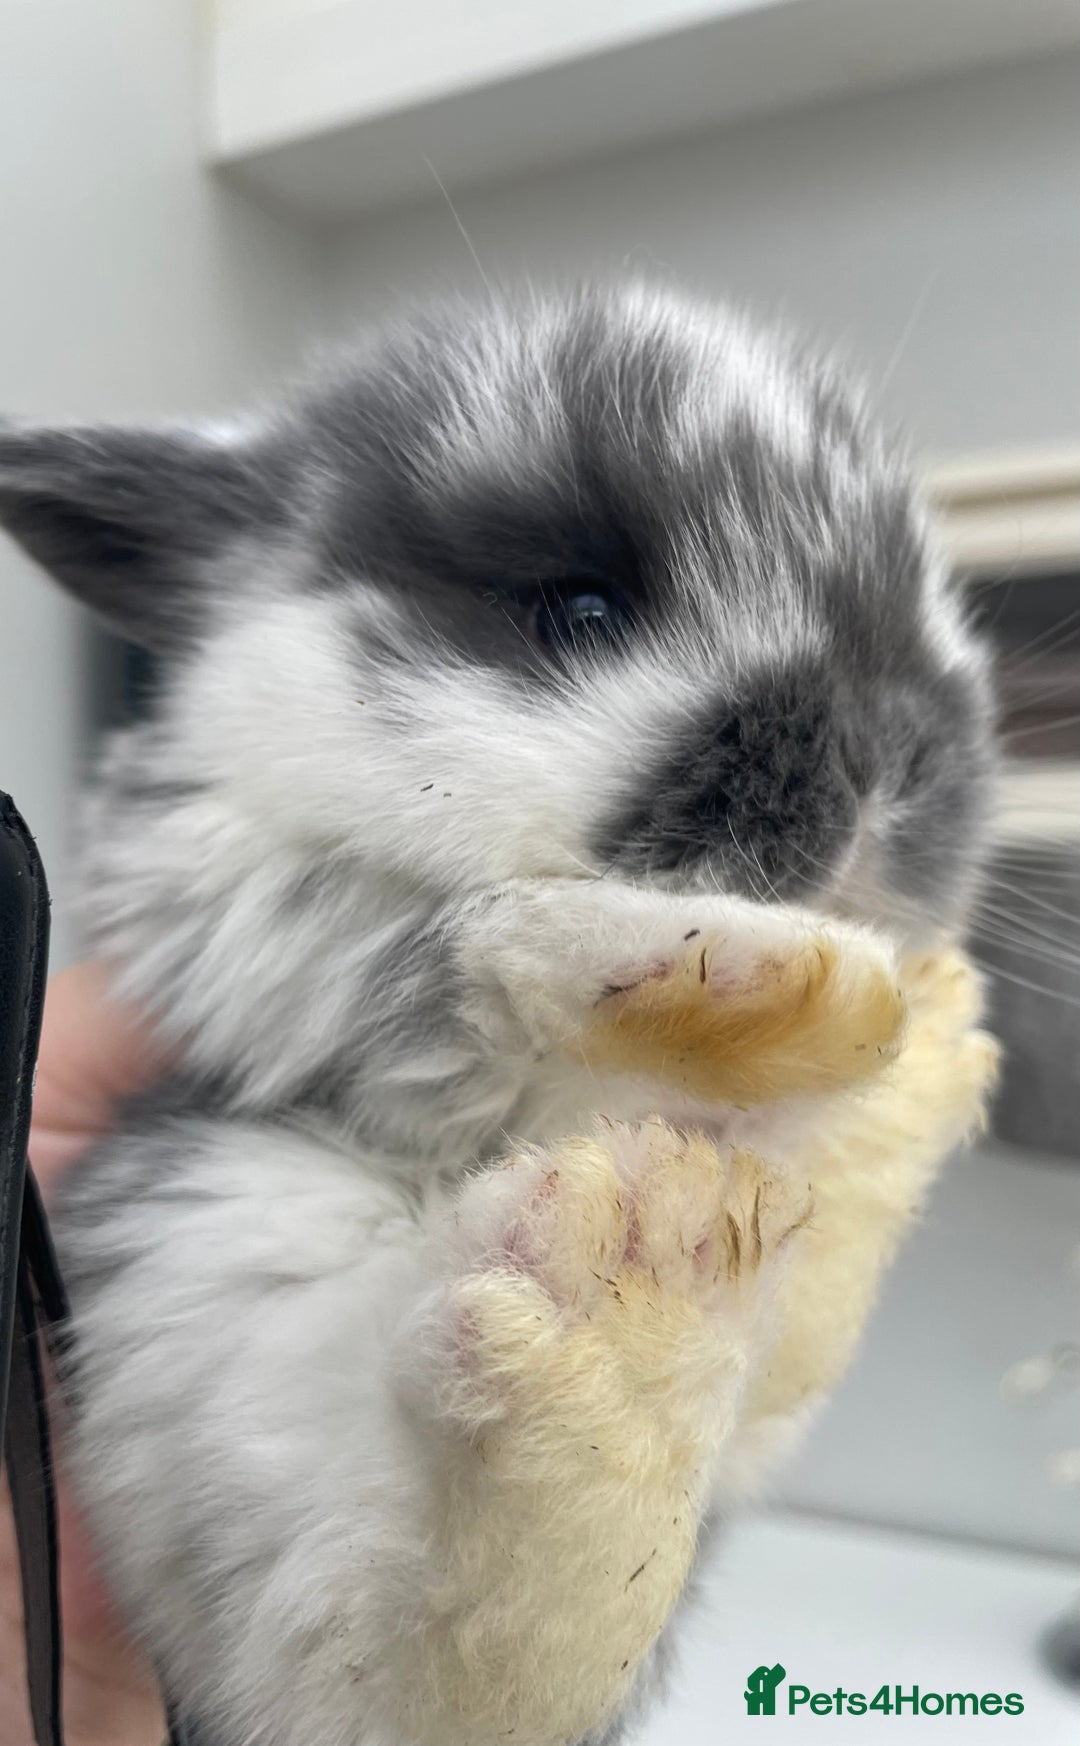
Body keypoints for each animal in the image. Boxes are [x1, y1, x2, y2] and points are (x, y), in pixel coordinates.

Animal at [0, 284, 998, 1746]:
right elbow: (479, 948)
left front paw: (898, 994)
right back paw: (634, 1290)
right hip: (198, 1286)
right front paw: (760, 978)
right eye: (576, 607)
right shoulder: (260, 928)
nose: (887, 758)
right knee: (397, 1650)